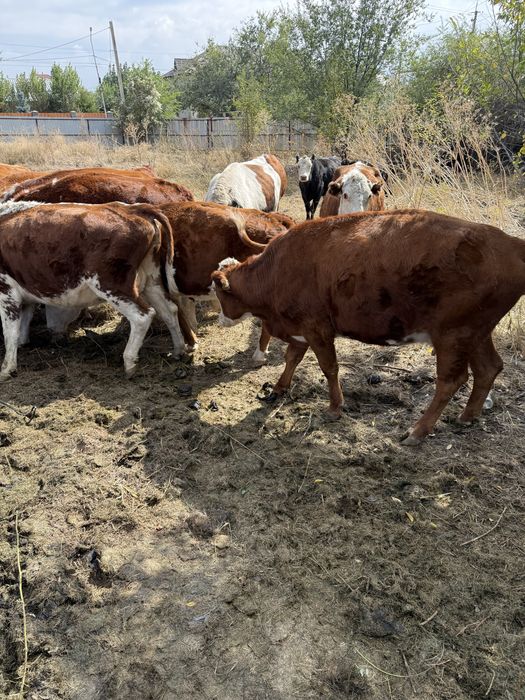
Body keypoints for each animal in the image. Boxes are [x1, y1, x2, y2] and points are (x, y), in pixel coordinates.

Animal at [0, 200, 190, 379]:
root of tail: (132, 209)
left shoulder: (6, 292)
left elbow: (10, 331)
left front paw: (7, 368)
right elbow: (22, 324)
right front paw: (21, 345)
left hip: (112, 284)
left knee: (142, 316)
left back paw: (129, 362)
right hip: (151, 280)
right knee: (169, 310)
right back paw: (178, 349)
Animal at [211, 209, 525, 445]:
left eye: (218, 293)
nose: (221, 320)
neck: (276, 270)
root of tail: (509, 243)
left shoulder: (317, 329)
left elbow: (329, 368)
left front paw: (335, 407)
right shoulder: (300, 329)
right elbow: (292, 358)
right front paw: (279, 388)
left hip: (453, 336)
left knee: (452, 380)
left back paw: (418, 431)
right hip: (475, 334)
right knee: (488, 368)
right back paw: (468, 416)